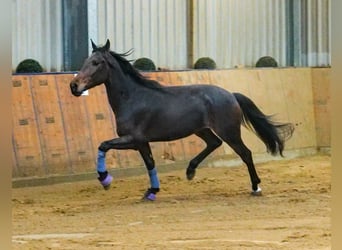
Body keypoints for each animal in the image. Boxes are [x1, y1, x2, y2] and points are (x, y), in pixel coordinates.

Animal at [69, 39, 294, 201]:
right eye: (85, 61)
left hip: (229, 132)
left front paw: (105, 180)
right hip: (202, 130)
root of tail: (231, 94)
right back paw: (190, 171)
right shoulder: (141, 142)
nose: (74, 86)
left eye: (96, 62)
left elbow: (103, 145)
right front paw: (152, 191)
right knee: (214, 143)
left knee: (245, 153)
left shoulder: (133, 139)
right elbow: (149, 163)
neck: (133, 98)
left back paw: (256, 187)